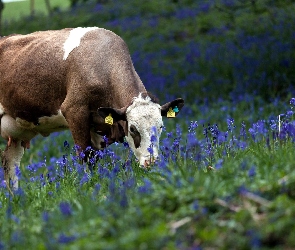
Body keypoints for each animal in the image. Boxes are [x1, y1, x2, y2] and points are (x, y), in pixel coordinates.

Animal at [0, 26, 184, 191]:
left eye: (161, 126)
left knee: (10, 163)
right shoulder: (74, 111)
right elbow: (84, 156)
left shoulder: (97, 127)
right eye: (132, 129)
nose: (151, 162)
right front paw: (87, 186)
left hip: (16, 133)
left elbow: (94, 158)